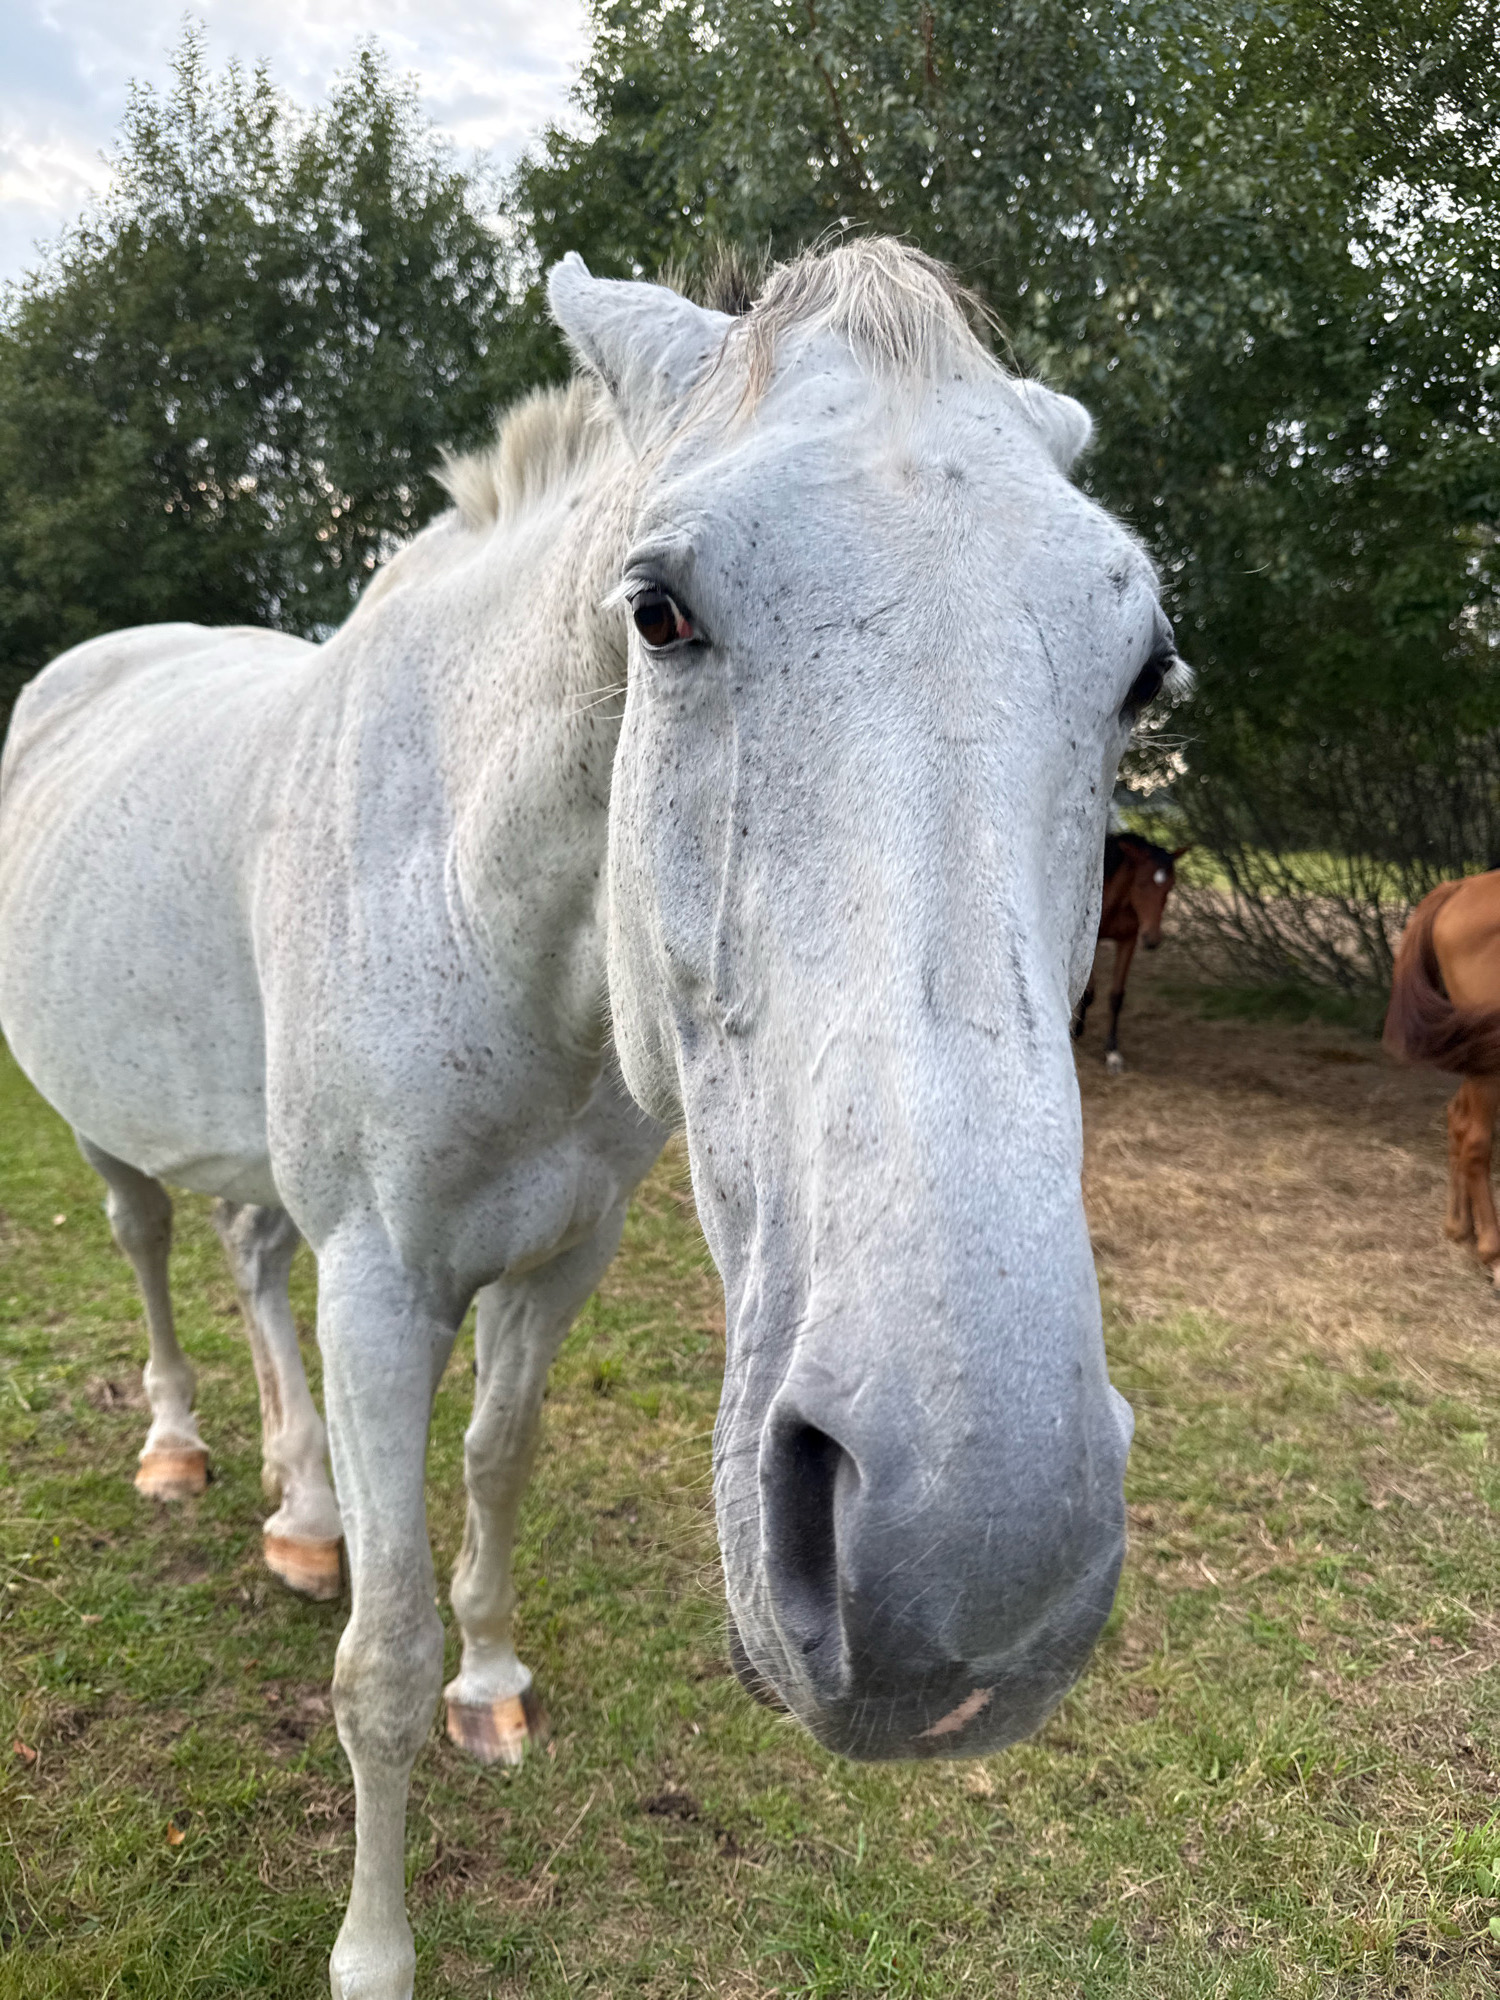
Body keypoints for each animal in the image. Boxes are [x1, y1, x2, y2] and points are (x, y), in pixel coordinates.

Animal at [1071, 831, 1189, 1071]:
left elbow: (1116, 995)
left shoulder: (1129, 940)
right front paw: (1077, 1032)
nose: (1152, 939)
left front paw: (1112, 1052)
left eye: (1170, 886)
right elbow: (1089, 990)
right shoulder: (1093, 940)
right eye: (1141, 883)